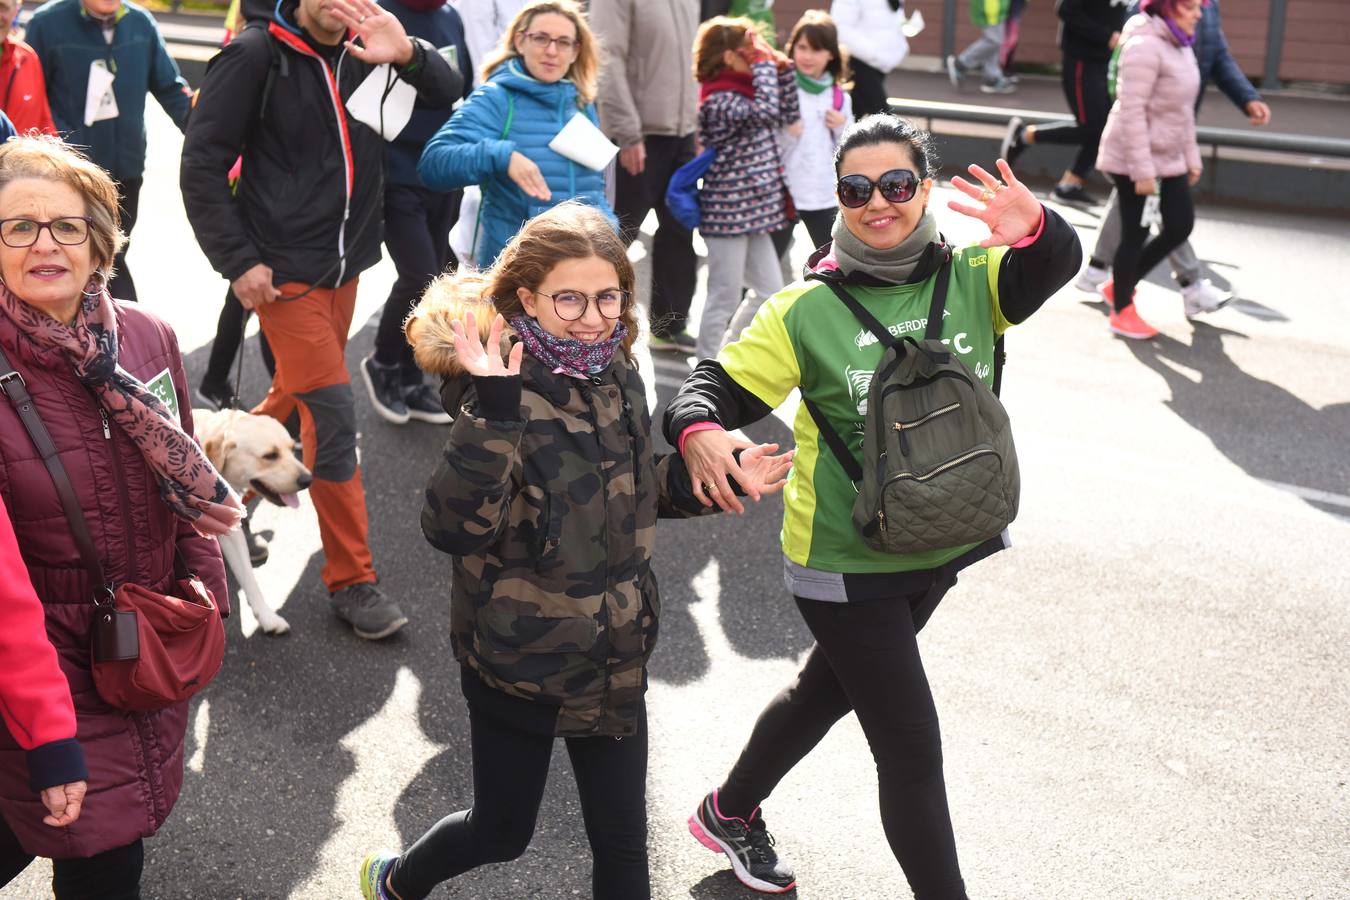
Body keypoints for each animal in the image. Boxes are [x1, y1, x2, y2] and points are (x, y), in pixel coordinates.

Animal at [194, 407, 311, 634]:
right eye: (270, 455)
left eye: (292, 449)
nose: (307, 480)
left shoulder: (231, 532)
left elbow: (248, 576)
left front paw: (266, 616)